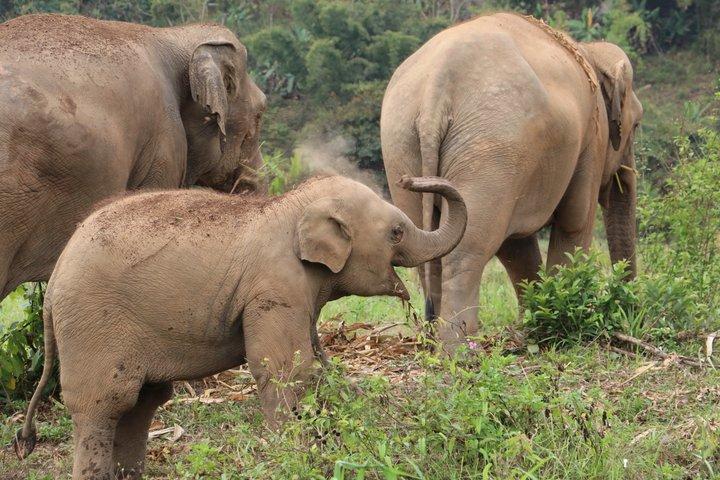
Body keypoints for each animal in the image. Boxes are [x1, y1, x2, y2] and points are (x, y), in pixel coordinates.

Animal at [13, 174, 467, 479]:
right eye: (397, 233)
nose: (410, 178)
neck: (291, 206)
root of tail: (54, 279)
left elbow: (312, 364)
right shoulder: (274, 289)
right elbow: (283, 370)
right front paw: (294, 456)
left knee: (141, 403)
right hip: (92, 323)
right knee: (105, 402)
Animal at [381, 13, 643, 352]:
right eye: (635, 126)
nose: (631, 322)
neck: (590, 51)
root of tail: (434, 92)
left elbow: (515, 246)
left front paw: (532, 326)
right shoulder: (591, 142)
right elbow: (574, 221)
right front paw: (556, 325)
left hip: (402, 143)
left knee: (427, 245)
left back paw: (434, 341)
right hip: (492, 148)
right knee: (467, 248)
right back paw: (460, 349)